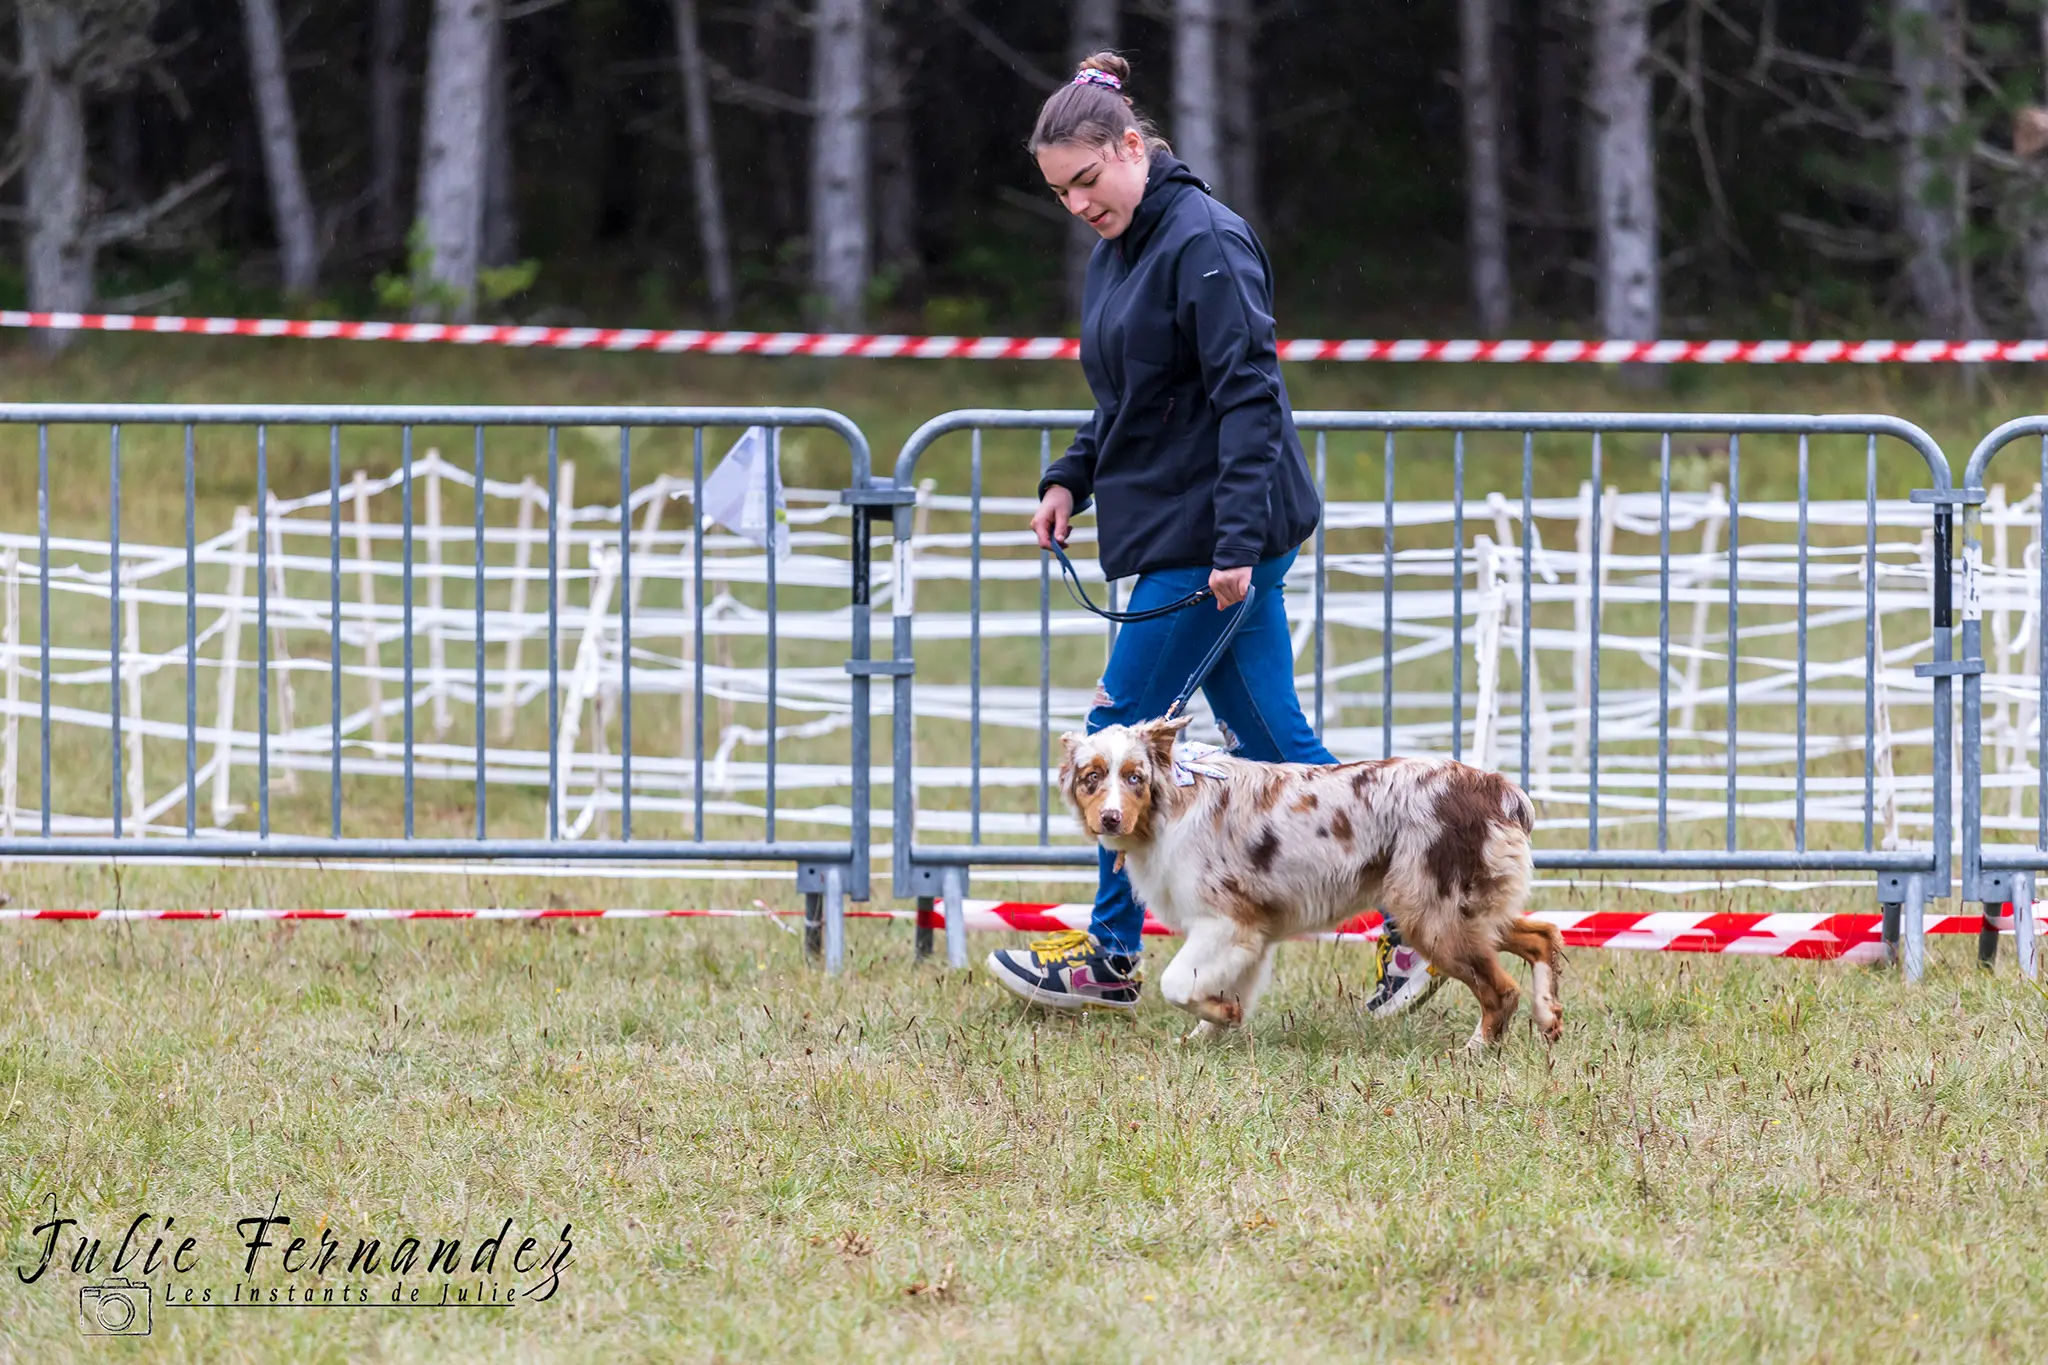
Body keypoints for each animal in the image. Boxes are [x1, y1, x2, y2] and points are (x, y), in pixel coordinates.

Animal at [1056, 716, 1564, 1047]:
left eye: (1134, 777)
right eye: (1092, 778)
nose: (1110, 818)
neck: (1167, 806)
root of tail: (1498, 788)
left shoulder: (1225, 922)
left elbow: (1176, 983)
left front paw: (1219, 1017)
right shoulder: (1252, 934)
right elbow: (1226, 989)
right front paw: (1210, 1031)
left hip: (1431, 914)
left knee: (1502, 989)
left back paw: (1475, 1050)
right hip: (1467, 910)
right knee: (1543, 934)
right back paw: (1548, 1016)